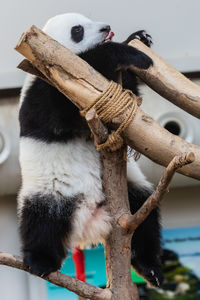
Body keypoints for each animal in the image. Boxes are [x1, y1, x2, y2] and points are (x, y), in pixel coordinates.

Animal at [18, 12, 163, 288]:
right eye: (78, 30)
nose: (106, 28)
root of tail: (90, 223)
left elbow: (124, 93)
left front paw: (140, 38)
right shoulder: (47, 86)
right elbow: (60, 110)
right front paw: (130, 53)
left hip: (131, 193)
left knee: (144, 216)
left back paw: (150, 268)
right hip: (51, 191)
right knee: (42, 221)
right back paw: (40, 261)